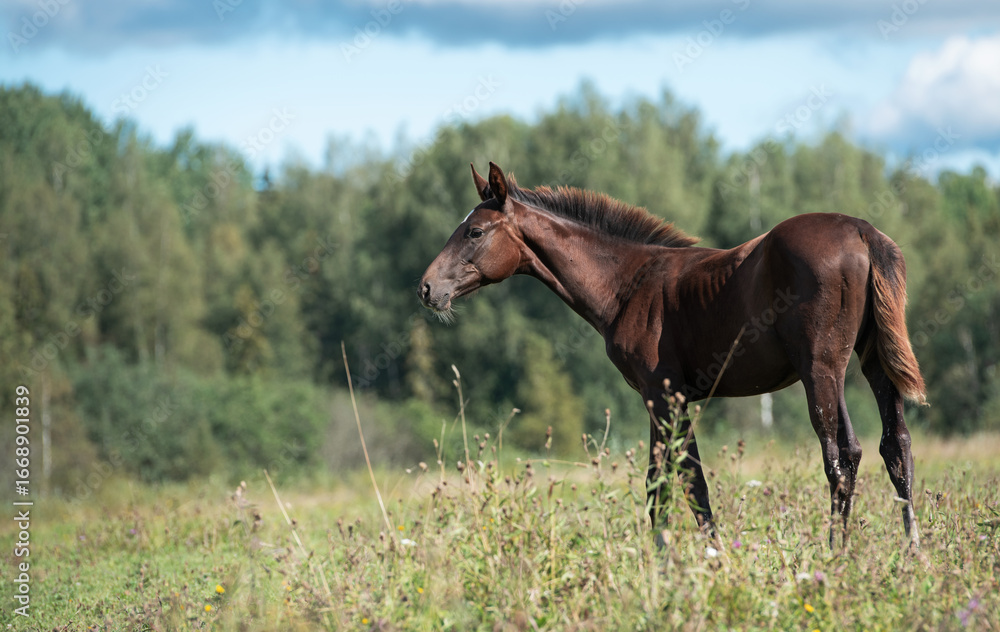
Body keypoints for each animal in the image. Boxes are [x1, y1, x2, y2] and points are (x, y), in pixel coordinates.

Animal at [418, 162, 925, 548]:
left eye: (475, 231)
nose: (427, 288)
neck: (626, 283)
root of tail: (862, 230)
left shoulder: (663, 395)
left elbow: (681, 482)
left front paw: (698, 561)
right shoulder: (663, 398)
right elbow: (667, 483)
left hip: (822, 368)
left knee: (842, 455)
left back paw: (835, 553)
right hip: (869, 362)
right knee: (894, 445)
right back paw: (911, 549)